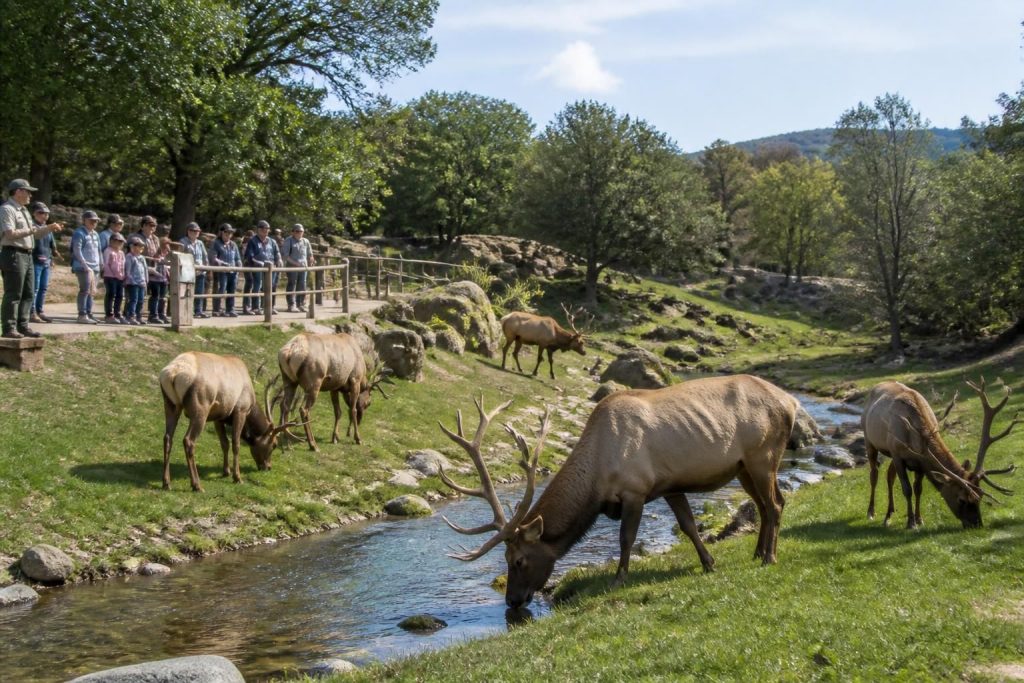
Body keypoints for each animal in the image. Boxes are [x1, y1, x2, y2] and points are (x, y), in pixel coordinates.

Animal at [160, 351, 298, 492]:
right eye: (274, 444)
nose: (268, 467)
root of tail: (173, 373)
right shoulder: (240, 410)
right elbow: (236, 444)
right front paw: (237, 477)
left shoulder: (219, 417)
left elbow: (224, 443)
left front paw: (226, 471)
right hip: (200, 409)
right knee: (188, 440)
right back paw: (197, 485)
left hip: (171, 405)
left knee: (167, 438)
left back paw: (166, 483)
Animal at [438, 374, 799, 609]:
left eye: (518, 560)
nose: (512, 601)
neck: (597, 480)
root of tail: (791, 401)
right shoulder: (670, 486)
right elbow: (688, 526)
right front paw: (709, 563)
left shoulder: (635, 490)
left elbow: (626, 538)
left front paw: (618, 579)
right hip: (743, 467)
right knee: (763, 505)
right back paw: (756, 552)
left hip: (763, 456)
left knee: (777, 504)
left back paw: (770, 557)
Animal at [862, 378, 1017, 529]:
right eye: (961, 499)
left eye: (980, 496)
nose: (977, 524)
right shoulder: (897, 454)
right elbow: (907, 489)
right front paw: (911, 522)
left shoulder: (920, 462)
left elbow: (918, 489)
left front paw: (919, 519)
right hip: (869, 440)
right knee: (874, 474)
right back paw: (871, 512)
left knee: (889, 475)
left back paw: (889, 514)